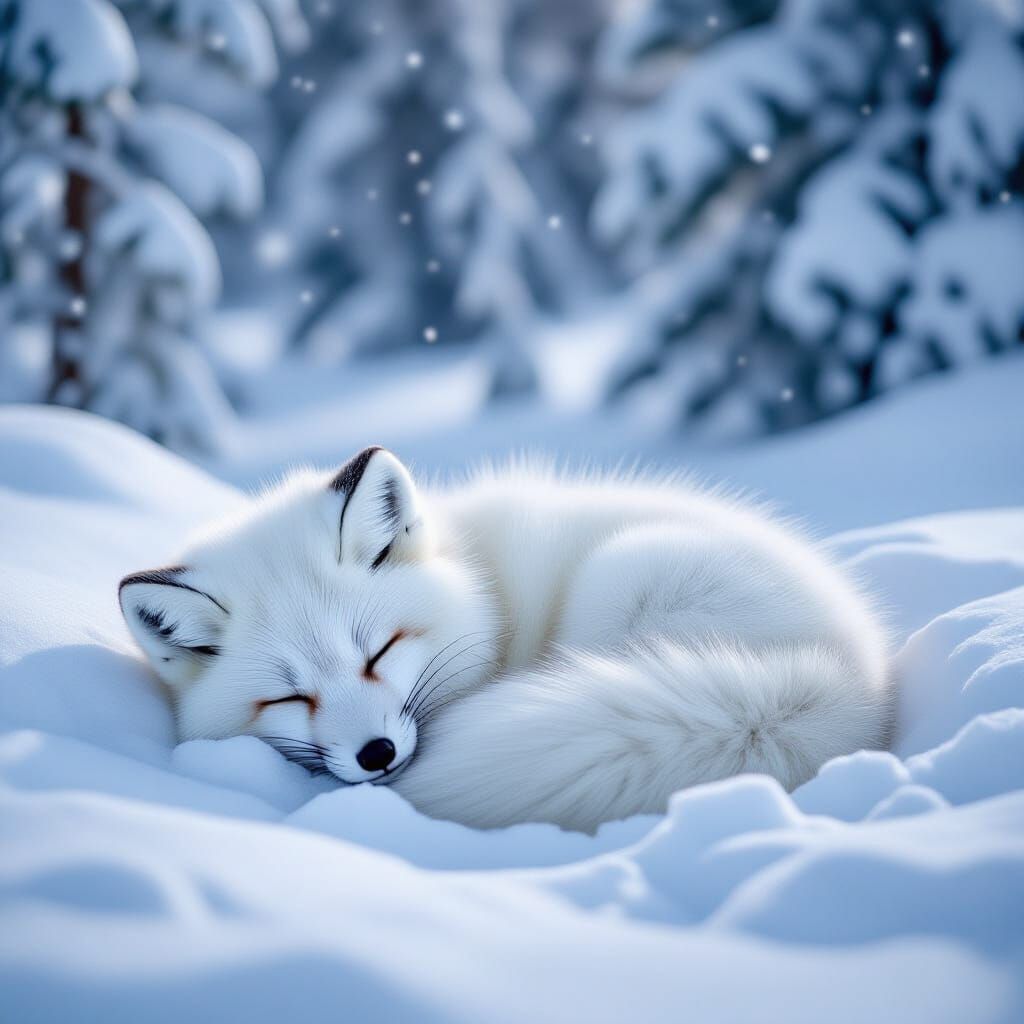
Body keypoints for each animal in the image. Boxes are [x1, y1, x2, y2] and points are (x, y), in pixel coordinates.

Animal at [119, 446, 892, 833]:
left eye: (380, 652)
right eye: (290, 698)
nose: (377, 754)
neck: (482, 581)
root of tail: (851, 684)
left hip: (619, 578)